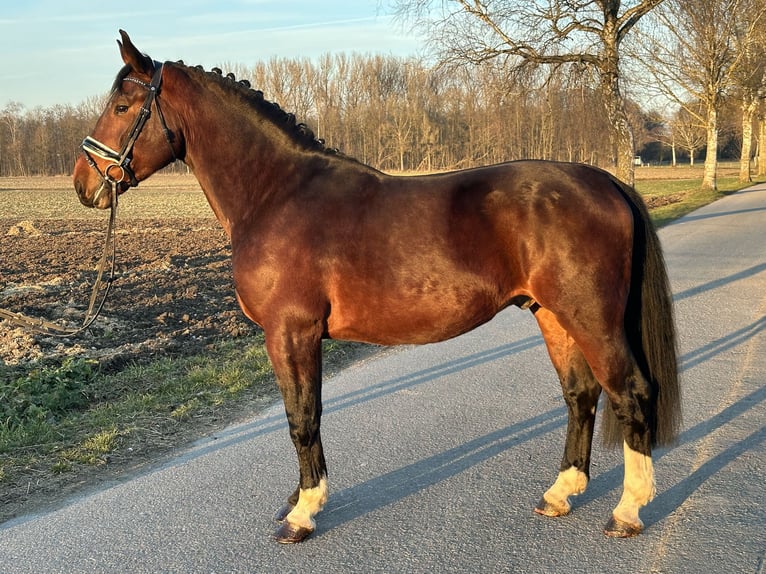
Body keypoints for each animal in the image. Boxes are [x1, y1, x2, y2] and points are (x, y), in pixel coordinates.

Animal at [75, 30, 680, 544]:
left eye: (123, 107)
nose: (84, 184)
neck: (277, 195)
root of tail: (606, 182)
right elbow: (303, 415)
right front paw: (297, 498)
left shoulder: (290, 333)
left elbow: (302, 418)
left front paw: (303, 513)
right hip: (551, 314)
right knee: (580, 395)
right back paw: (559, 494)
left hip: (591, 318)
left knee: (630, 392)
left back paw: (627, 510)